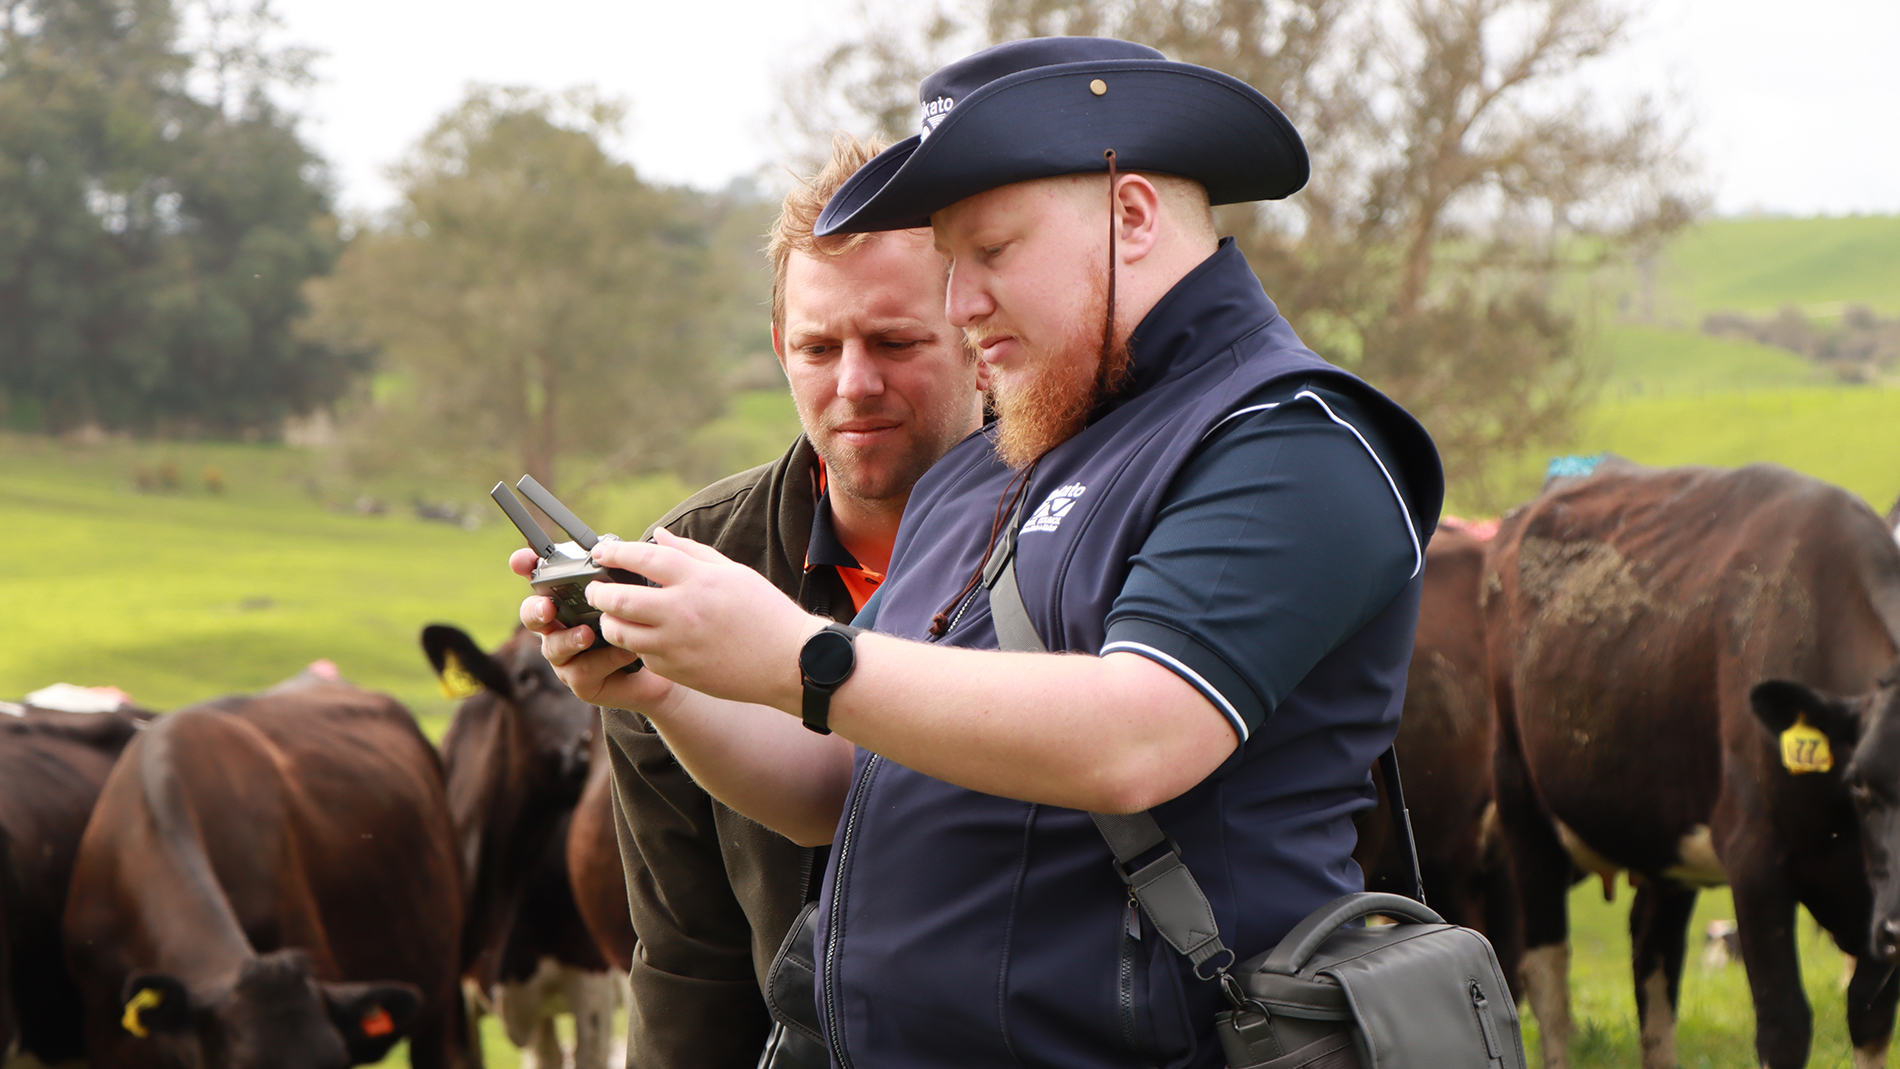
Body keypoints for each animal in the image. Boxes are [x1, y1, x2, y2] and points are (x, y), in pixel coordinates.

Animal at [1482, 465, 1900, 1069]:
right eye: (1860, 786)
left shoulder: (1876, 907)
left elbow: (1871, 1013)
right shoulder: (1754, 857)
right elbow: (1784, 1024)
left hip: (1658, 825)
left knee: (1652, 960)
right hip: (1520, 800)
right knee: (1546, 974)